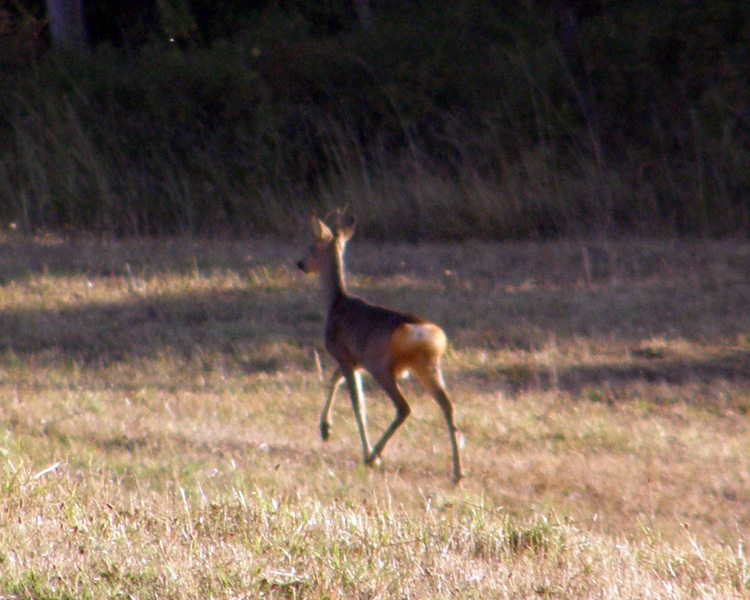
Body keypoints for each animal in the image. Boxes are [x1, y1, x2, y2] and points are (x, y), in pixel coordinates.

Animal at [298, 216, 464, 482]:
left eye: (312, 248)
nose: (301, 264)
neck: (336, 304)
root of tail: (424, 335)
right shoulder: (353, 360)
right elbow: (334, 381)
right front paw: (325, 429)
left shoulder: (344, 355)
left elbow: (357, 404)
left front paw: (348, 441)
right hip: (427, 367)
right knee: (448, 406)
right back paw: (458, 473)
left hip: (382, 367)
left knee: (404, 407)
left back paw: (373, 456)